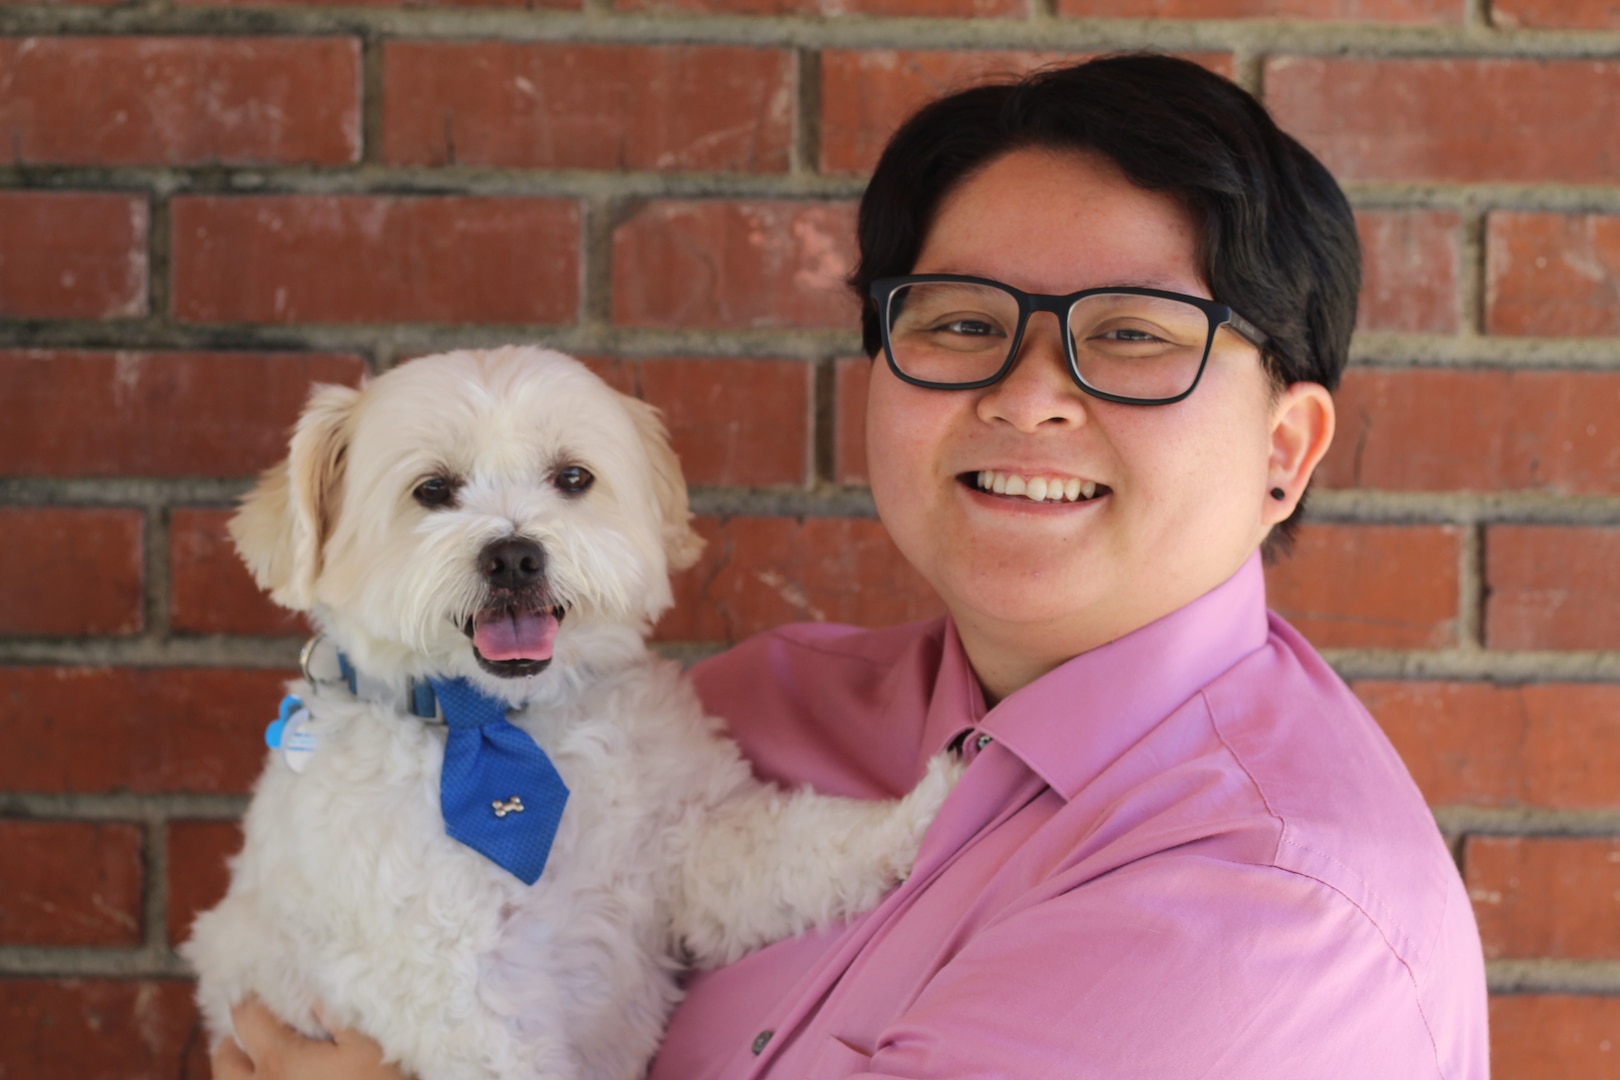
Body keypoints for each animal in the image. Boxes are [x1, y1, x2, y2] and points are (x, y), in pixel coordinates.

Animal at [183, 348, 952, 1080]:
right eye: (432, 490)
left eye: (573, 477)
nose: (513, 556)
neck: (504, 725)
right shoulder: (451, 986)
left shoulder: (691, 852)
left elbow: (803, 847)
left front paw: (926, 808)